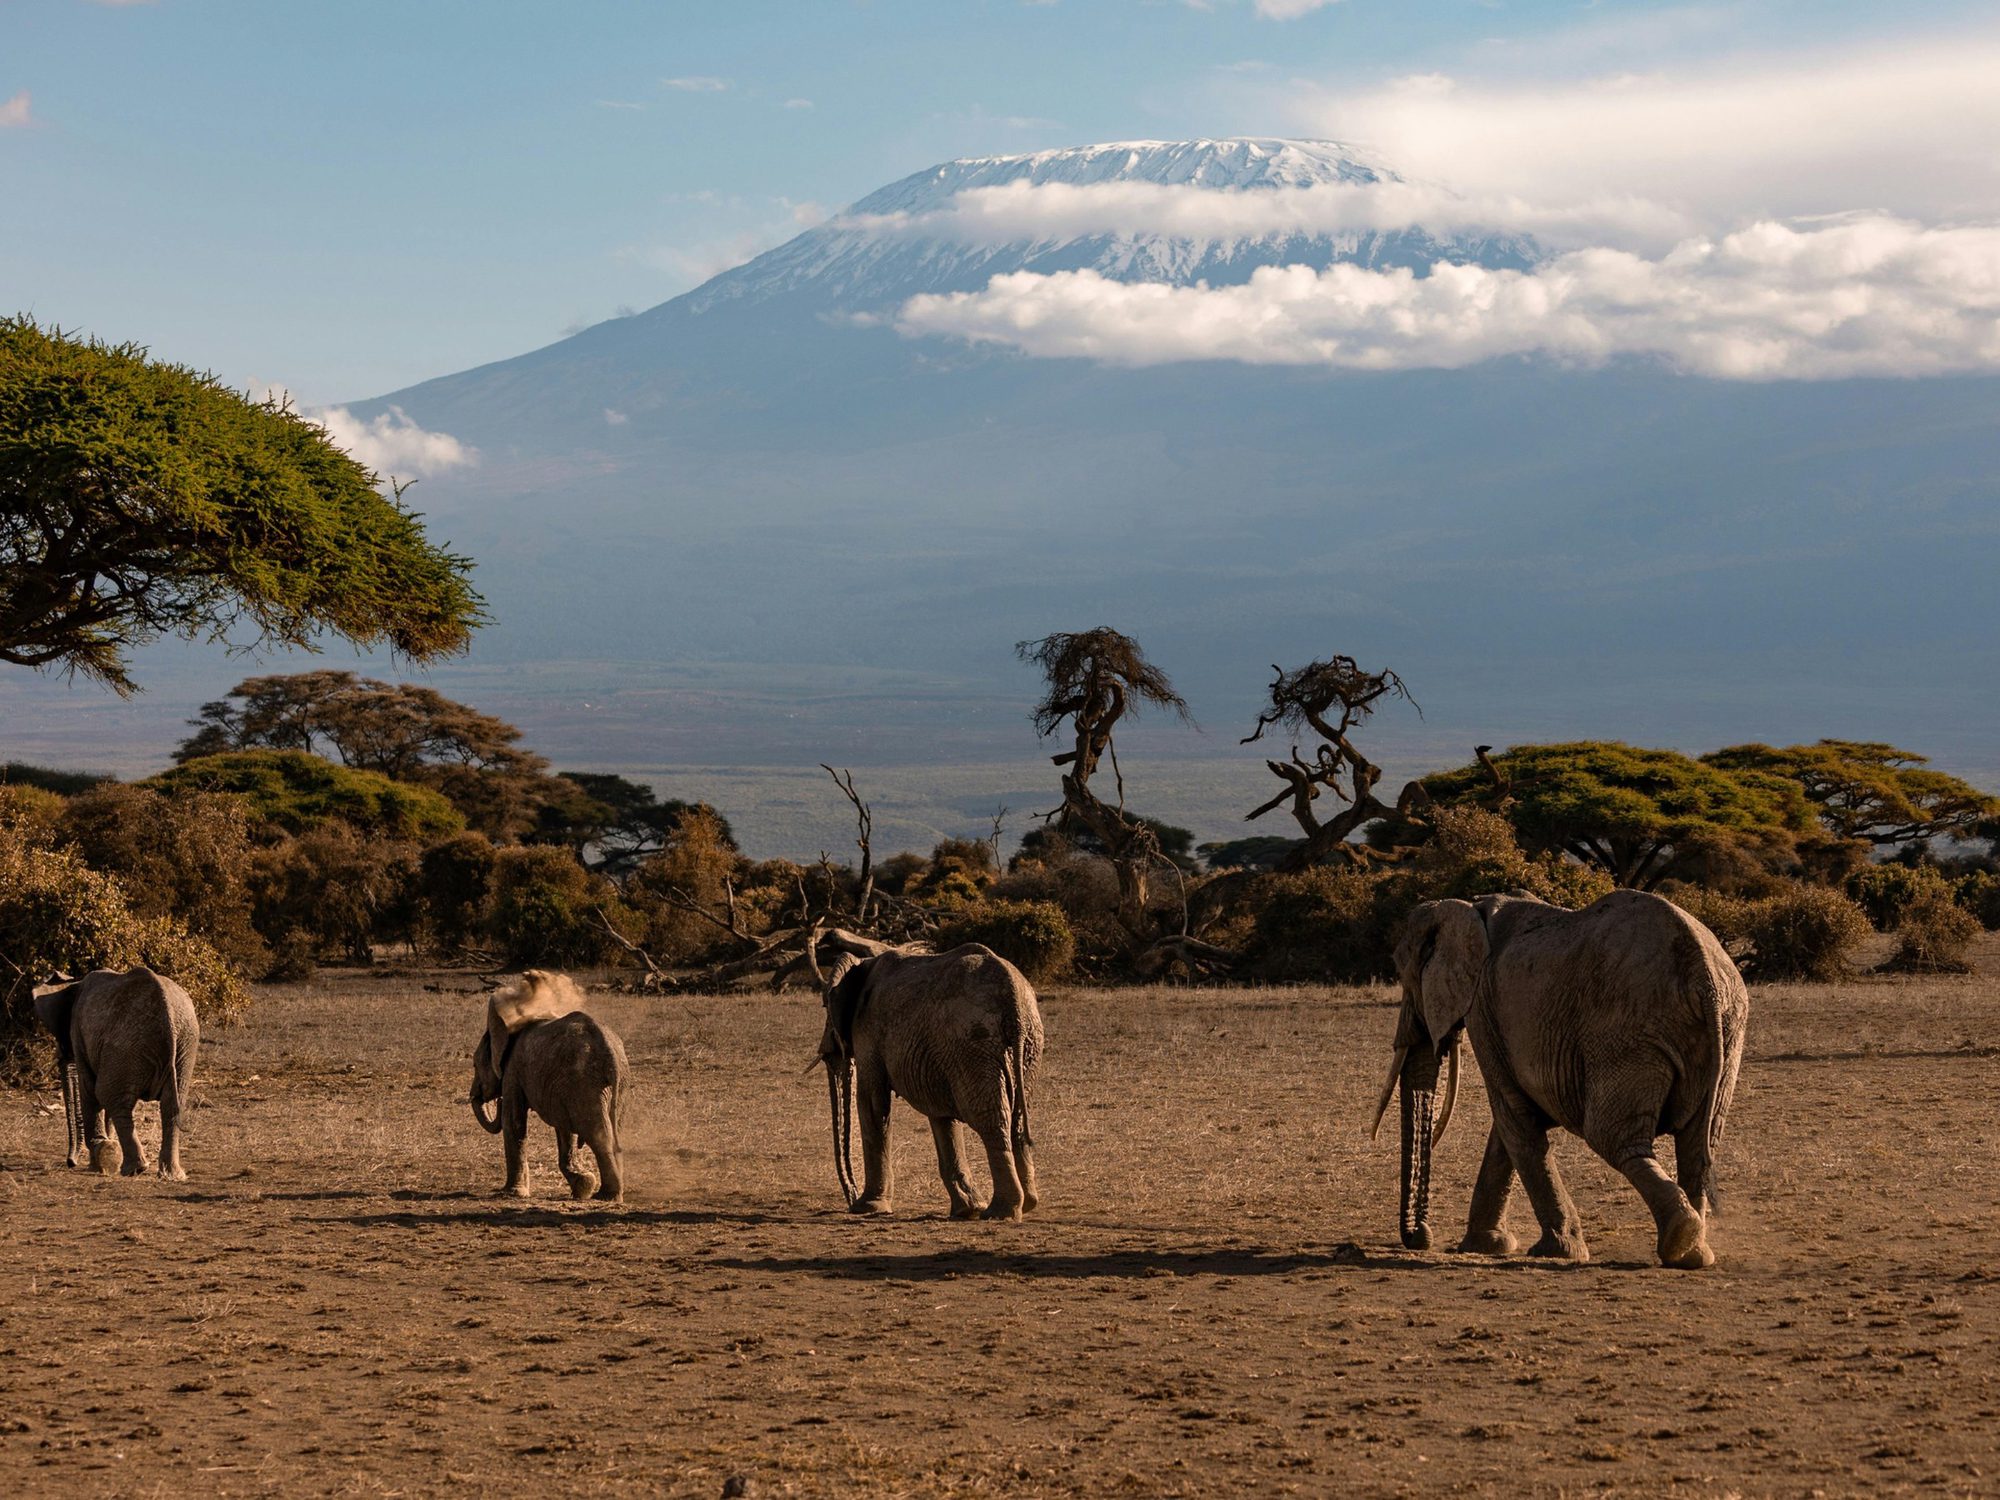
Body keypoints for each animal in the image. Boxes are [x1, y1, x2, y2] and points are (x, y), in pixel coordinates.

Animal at [33, 967, 200, 1180]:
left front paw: (97, 1160)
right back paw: (171, 1175)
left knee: (109, 1096)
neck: (74, 983)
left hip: (127, 1044)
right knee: (170, 1105)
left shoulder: (79, 1031)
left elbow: (89, 1090)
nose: (71, 1163)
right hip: (185, 1044)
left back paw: (133, 1169)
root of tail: (167, 1014)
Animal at [469, 970, 627, 1202]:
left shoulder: (513, 1070)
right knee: (611, 1130)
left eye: (474, 1064)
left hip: (586, 1081)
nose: (496, 1100)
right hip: (610, 1084)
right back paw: (606, 1193)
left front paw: (510, 1194)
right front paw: (583, 1186)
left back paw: (606, 1196)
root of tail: (609, 1051)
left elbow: (514, 1122)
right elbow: (564, 1129)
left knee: (599, 1134)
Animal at [819, 943, 1043, 1220]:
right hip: (1025, 1045)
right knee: (1017, 1118)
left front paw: (866, 1208)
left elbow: (871, 1102)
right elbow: (941, 1114)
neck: (863, 962)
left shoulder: (868, 1031)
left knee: (991, 1119)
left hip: (973, 1042)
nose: (850, 1198)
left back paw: (1000, 1212)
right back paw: (1026, 1204)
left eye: (824, 1005)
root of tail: (1013, 998)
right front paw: (967, 1210)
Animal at [1372, 890, 1748, 1270]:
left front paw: (1556, 1251)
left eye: (1405, 974)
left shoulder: (1482, 1008)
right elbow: (1509, 1126)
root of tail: (1703, 976)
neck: (1467, 908)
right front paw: (1488, 1245)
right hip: (1726, 1031)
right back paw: (1693, 1252)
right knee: (1698, 1144)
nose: (1421, 1237)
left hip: (1627, 1033)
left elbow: (1513, 1117)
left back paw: (1680, 1237)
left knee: (1613, 1137)